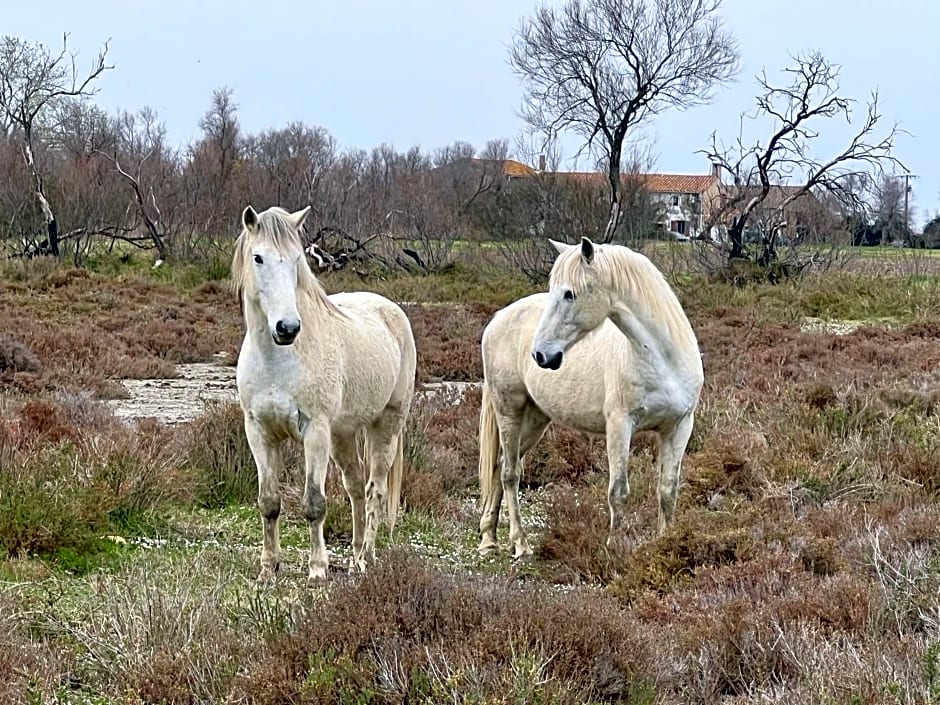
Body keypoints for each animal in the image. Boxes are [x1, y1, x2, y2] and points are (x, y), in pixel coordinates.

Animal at [231, 202, 414, 576]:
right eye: (258, 258)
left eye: (296, 259)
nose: (287, 328)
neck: (279, 360)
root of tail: (390, 309)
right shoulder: (259, 432)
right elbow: (268, 502)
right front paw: (268, 569)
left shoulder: (314, 431)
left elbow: (314, 503)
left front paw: (317, 568)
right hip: (342, 434)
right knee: (355, 486)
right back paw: (356, 556)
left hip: (386, 425)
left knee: (375, 490)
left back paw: (365, 557)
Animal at [482, 236, 700, 556]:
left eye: (569, 294)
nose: (540, 354)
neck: (663, 360)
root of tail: (498, 318)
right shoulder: (620, 425)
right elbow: (618, 491)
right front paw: (615, 547)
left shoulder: (679, 426)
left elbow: (668, 490)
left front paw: (665, 544)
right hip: (509, 409)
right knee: (510, 473)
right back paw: (520, 543)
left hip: (535, 420)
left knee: (499, 466)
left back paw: (489, 538)